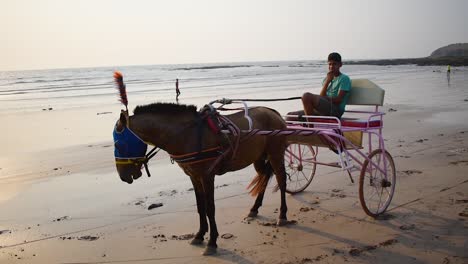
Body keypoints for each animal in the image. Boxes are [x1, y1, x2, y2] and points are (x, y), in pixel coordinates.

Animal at [113, 102, 288, 255]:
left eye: (119, 145)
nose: (123, 176)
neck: (187, 135)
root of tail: (274, 113)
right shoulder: (194, 177)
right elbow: (200, 207)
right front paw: (199, 234)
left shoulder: (207, 176)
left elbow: (210, 208)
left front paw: (212, 242)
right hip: (258, 157)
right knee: (264, 176)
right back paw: (255, 208)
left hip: (275, 154)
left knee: (281, 180)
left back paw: (282, 215)